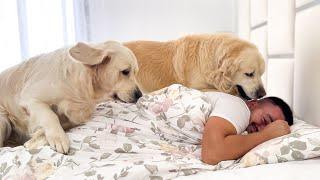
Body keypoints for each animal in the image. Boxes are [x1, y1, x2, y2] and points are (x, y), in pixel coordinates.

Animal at [0, 41, 141, 153]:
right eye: (125, 72)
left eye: (135, 72)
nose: (139, 95)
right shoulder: (30, 99)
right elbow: (50, 115)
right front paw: (58, 138)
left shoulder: (76, 117)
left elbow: (62, 121)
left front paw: (37, 138)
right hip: (3, 119)